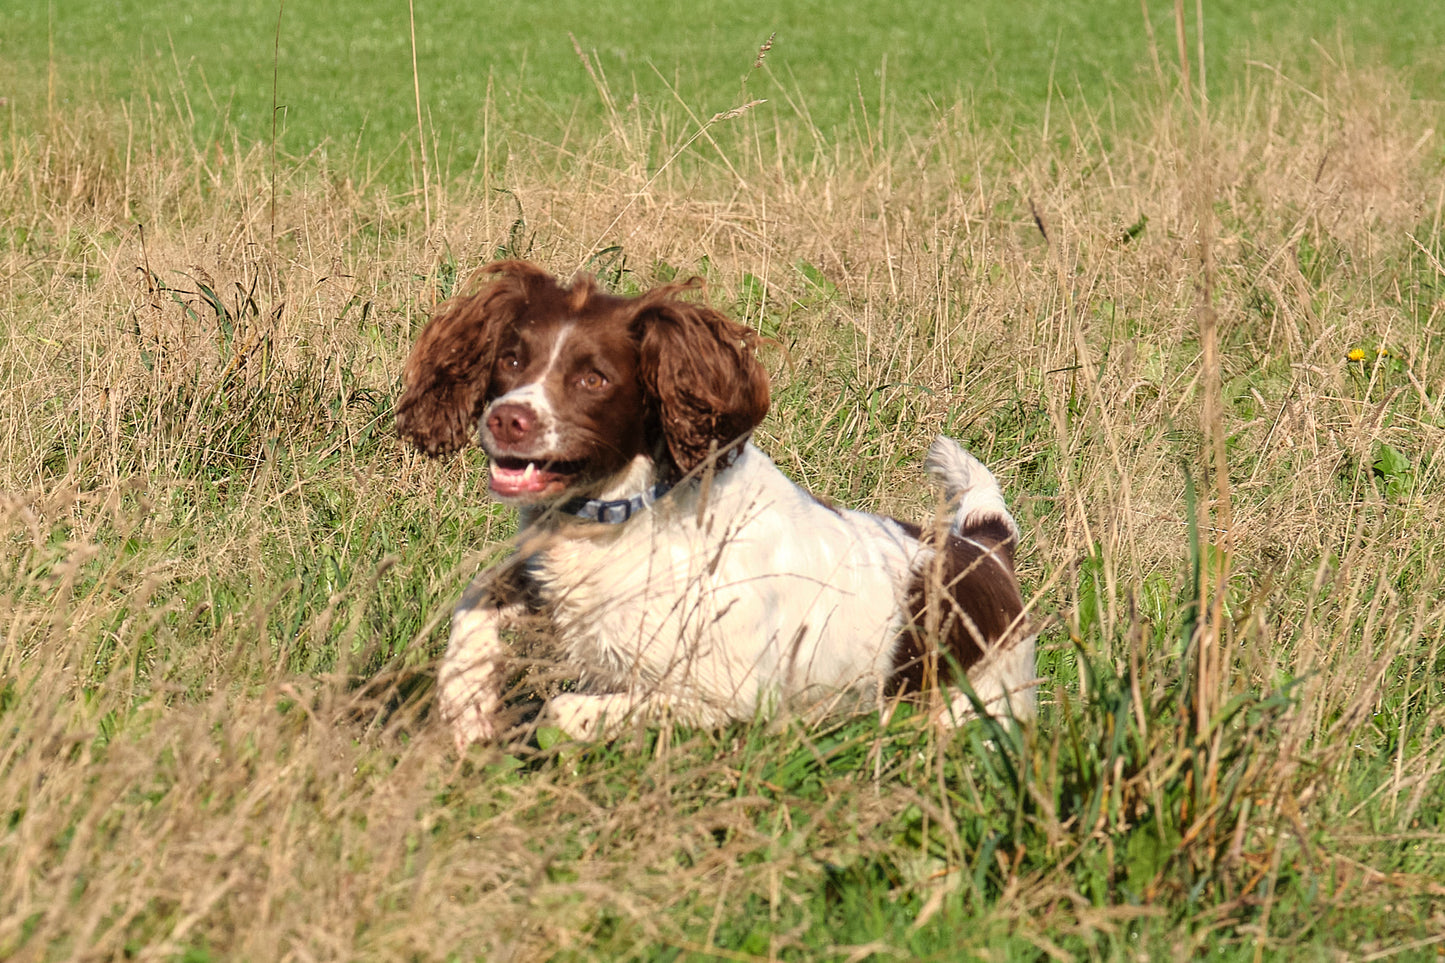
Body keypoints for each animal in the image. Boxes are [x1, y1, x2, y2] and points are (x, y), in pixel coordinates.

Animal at [390, 258, 1034, 746]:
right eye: (511, 360)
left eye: (594, 379)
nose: (508, 419)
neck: (634, 511)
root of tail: (985, 546)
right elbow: (475, 602)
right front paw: (467, 704)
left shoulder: (733, 693)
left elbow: (566, 711)